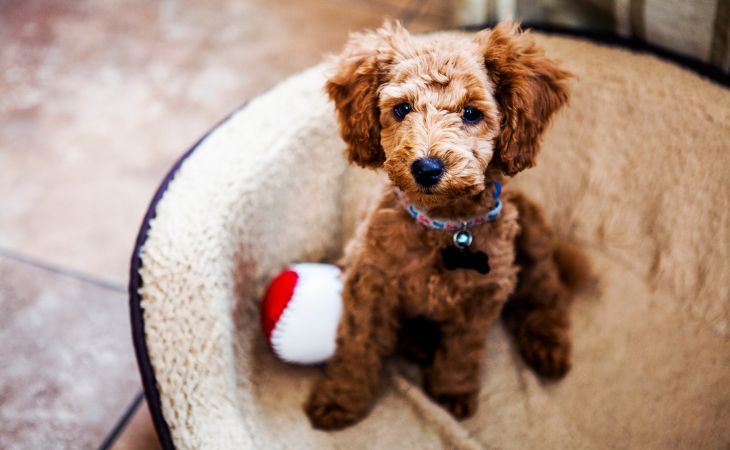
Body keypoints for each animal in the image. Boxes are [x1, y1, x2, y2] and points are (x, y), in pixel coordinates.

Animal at [304, 20, 584, 428]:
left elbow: (462, 351)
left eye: (471, 113)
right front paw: (340, 400)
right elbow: (357, 344)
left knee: (548, 293)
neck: (445, 226)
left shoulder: (482, 296)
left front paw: (452, 393)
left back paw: (548, 347)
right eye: (401, 109)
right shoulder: (369, 284)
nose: (427, 168)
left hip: (532, 242)